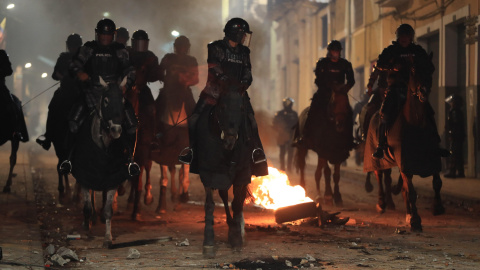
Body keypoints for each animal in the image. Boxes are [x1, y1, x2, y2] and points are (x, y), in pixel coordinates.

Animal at [69, 77, 134, 248]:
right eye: (106, 101)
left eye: (123, 101)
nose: (116, 129)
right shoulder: (85, 176)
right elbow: (87, 207)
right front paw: (87, 229)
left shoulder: (112, 179)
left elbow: (108, 210)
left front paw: (107, 238)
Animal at [192, 84, 266, 258]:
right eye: (222, 107)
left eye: (241, 108)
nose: (230, 140)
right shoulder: (209, 174)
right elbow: (210, 204)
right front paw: (209, 242)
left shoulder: (242, 174)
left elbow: (237, 203)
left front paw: (237, 238)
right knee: (224, 197)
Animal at [364, 62, 446, 231]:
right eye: (413, 70)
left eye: (431, 68)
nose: (424, 90)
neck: (415, 123)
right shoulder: (405, 162)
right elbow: (411, 191)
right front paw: (415, 220)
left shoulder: (432, 158)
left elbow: (436, 182)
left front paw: (437, 207)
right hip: (377, 158)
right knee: (379, 175)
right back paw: (381, 203)